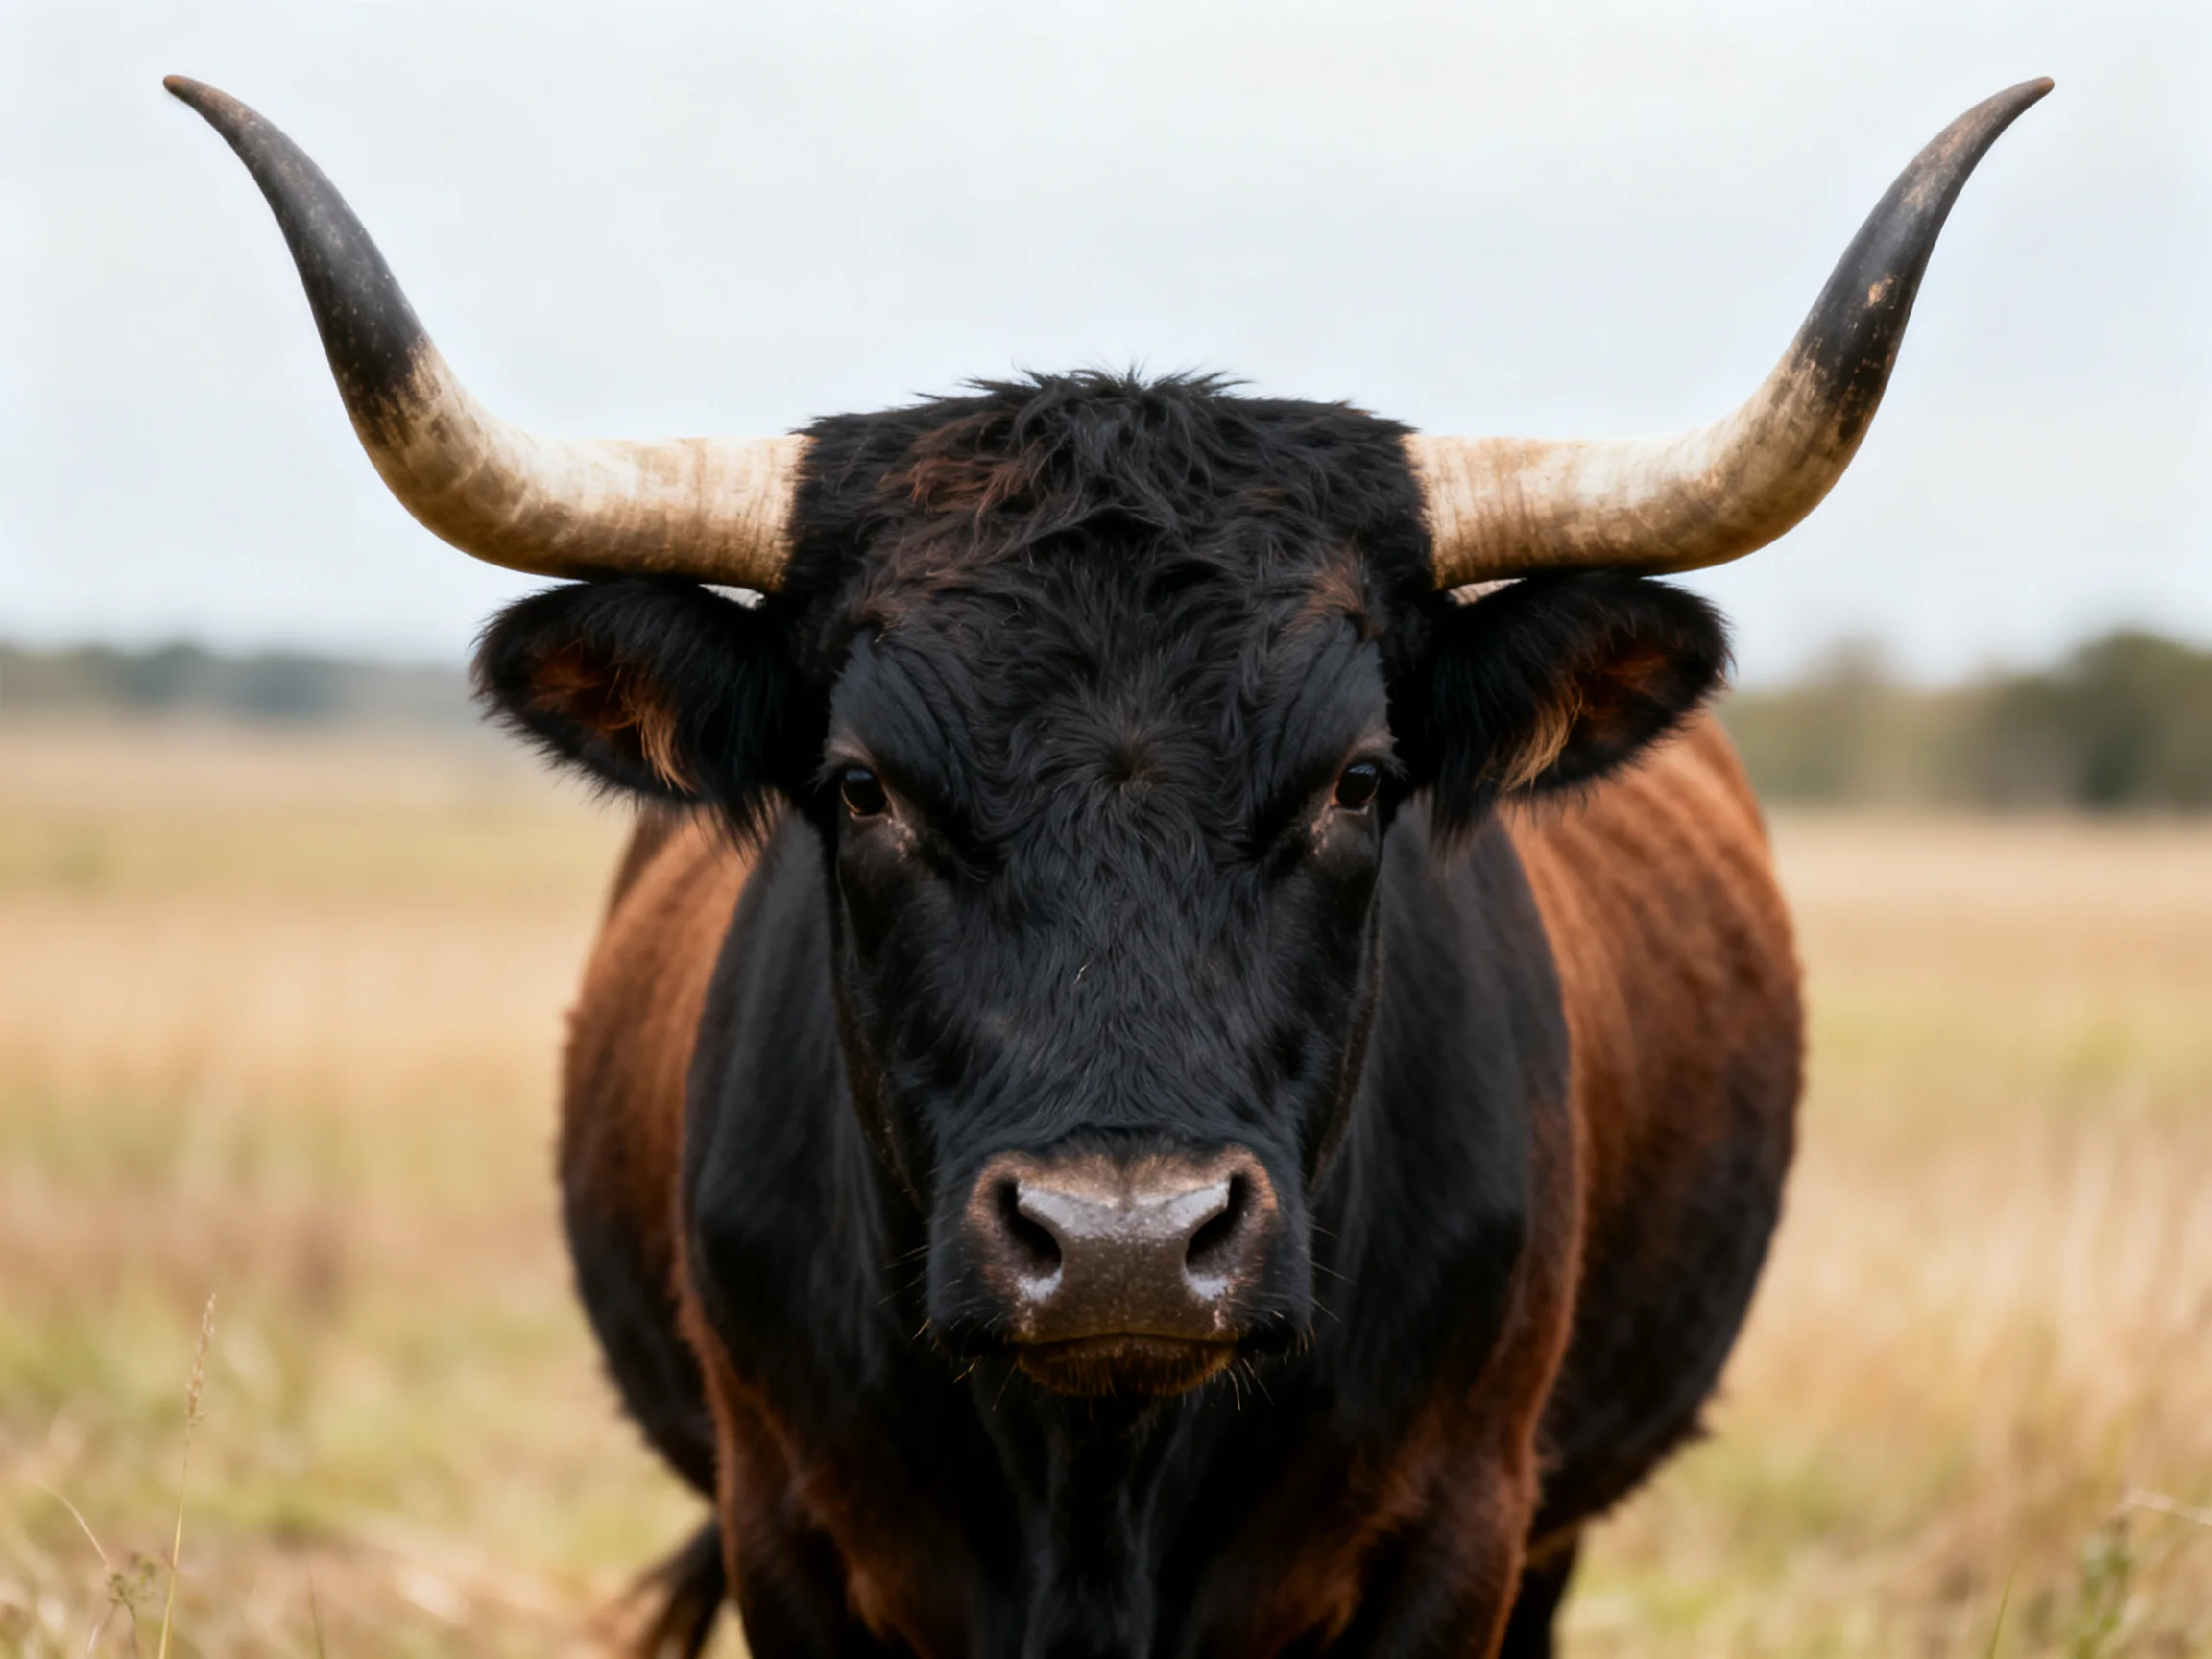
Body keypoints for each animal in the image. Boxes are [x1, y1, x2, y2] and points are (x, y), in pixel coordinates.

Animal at [169, 75, 2048, 1659]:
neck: (1099, 1474)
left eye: (1360, 779)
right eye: (859, 786)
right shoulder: (793, 1535)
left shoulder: (1460, 1534)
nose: (1127, 1241)